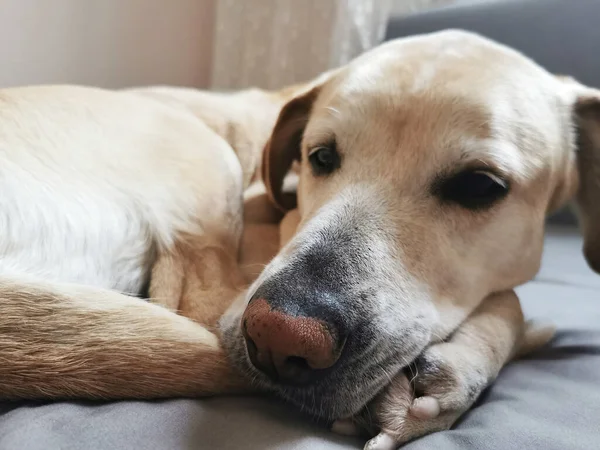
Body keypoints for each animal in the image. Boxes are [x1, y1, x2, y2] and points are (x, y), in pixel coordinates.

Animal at [1, 29, 600, 448]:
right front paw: (465, 362)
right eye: (322, 155)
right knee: (196, 304)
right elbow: (512, 298)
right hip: (203, 152)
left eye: (480, 186)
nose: (279, 340)